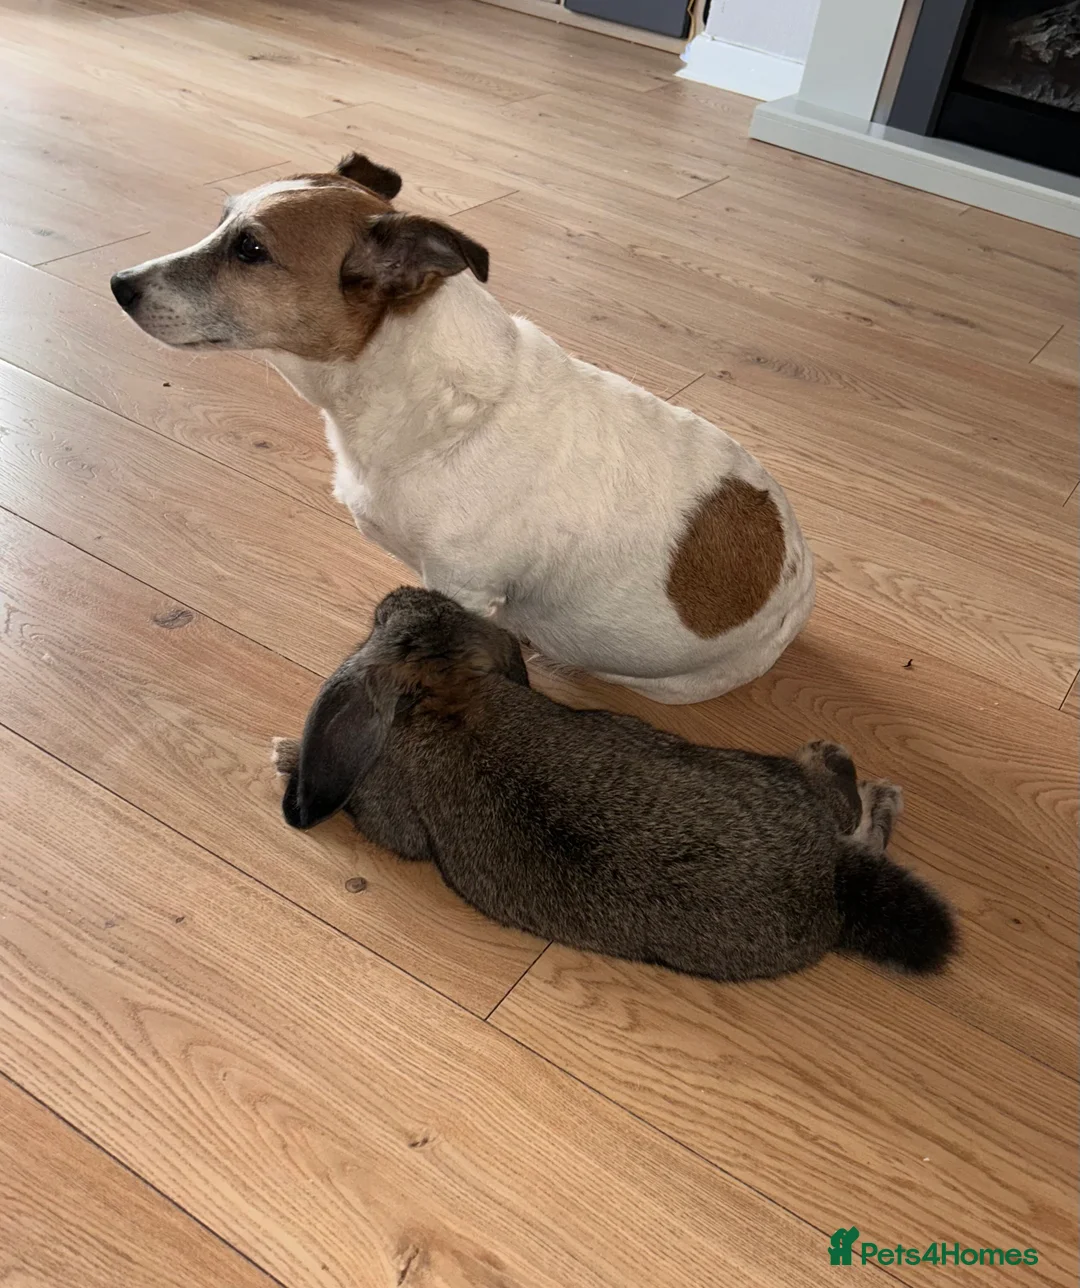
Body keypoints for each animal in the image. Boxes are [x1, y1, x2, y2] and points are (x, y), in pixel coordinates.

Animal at [272, 587, 957, 983]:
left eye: (380, 620)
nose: (399, 591)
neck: (442, 694)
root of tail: (831, 882)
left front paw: (284, 754)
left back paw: (834, 755)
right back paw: (881, 793)